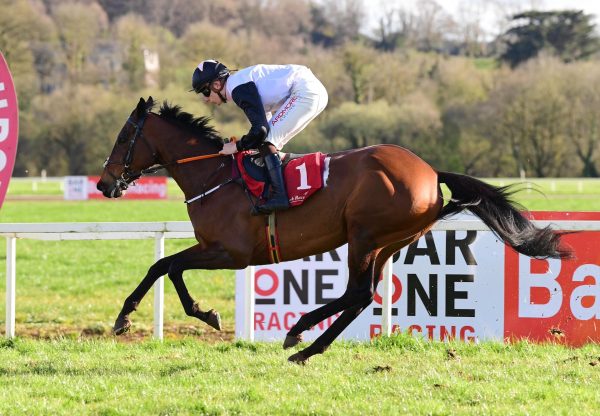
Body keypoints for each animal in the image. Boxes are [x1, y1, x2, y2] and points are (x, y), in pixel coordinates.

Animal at [96, 97, 568, 364]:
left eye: (122, 138)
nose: (103, 184)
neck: (215, 176)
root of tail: (432, 174)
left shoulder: (230, 252)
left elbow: (164, 266)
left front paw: (129, 317)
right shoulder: (217, 250)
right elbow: (168, 267)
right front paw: (201, 313)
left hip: (364, 236)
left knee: (358, 292)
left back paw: (301, 337)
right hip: (387, 242)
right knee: (362, 295)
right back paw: (306, 341)